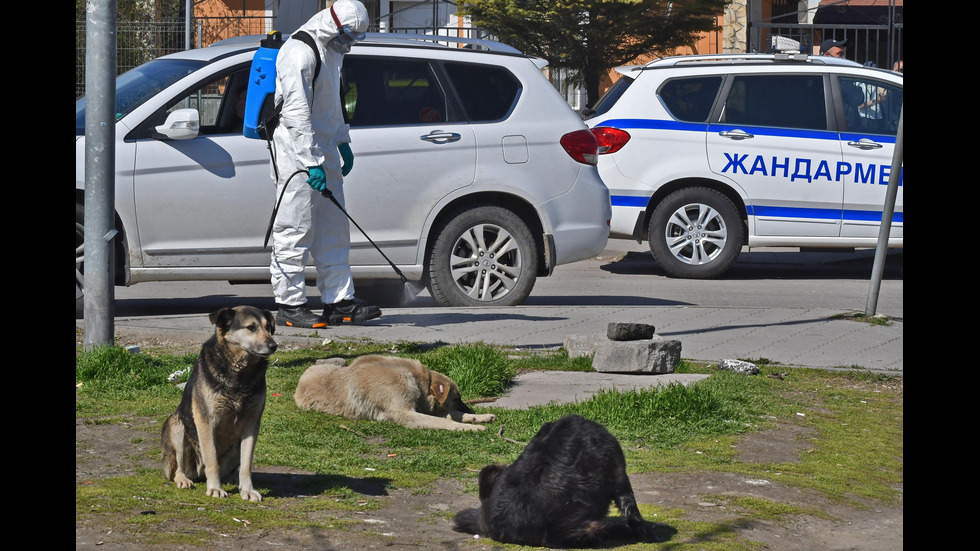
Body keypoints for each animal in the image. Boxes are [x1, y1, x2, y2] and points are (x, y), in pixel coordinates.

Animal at [160, 308, 276, 502]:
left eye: (268, 328)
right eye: (251, 327)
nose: (274, 345)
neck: (240, 373)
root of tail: (198, 473)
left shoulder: (251, 424)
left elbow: (246, 465)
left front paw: (247, 489)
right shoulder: (206, 422)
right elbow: (212, 460)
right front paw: (215, 488)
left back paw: (233, 479)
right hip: (176, 425)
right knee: (178, 469)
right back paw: (184, 479)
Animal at [294, 356, 498, 434]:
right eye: (457, 398)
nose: (472, 409)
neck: (418, 380)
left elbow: (455, 415)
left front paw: (479, 417)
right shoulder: (405, 414)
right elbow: (444, 421)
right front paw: (469, 427)